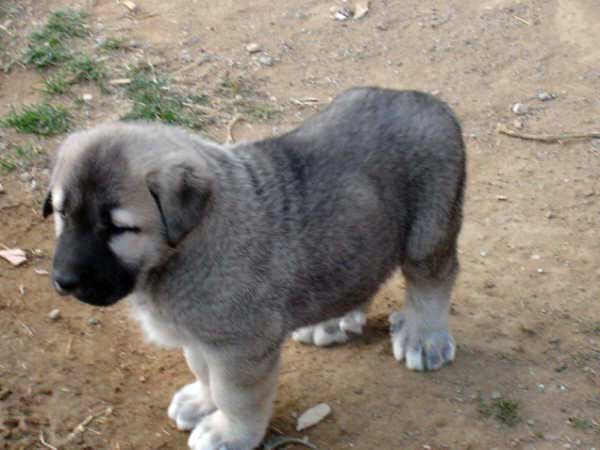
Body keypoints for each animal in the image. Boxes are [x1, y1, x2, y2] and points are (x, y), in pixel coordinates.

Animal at [44, 88, 466, 450]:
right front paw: (201, 401)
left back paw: (423, 338)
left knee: (433, 281)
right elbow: (203, 372)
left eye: (118, 228)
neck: (187, 245)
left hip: (430, 230)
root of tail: (422, 98)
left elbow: (235, 395)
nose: (63, 280)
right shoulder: (202, 335)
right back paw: (331, 321)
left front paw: (228, 432)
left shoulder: (240, 346)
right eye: (63, 213)